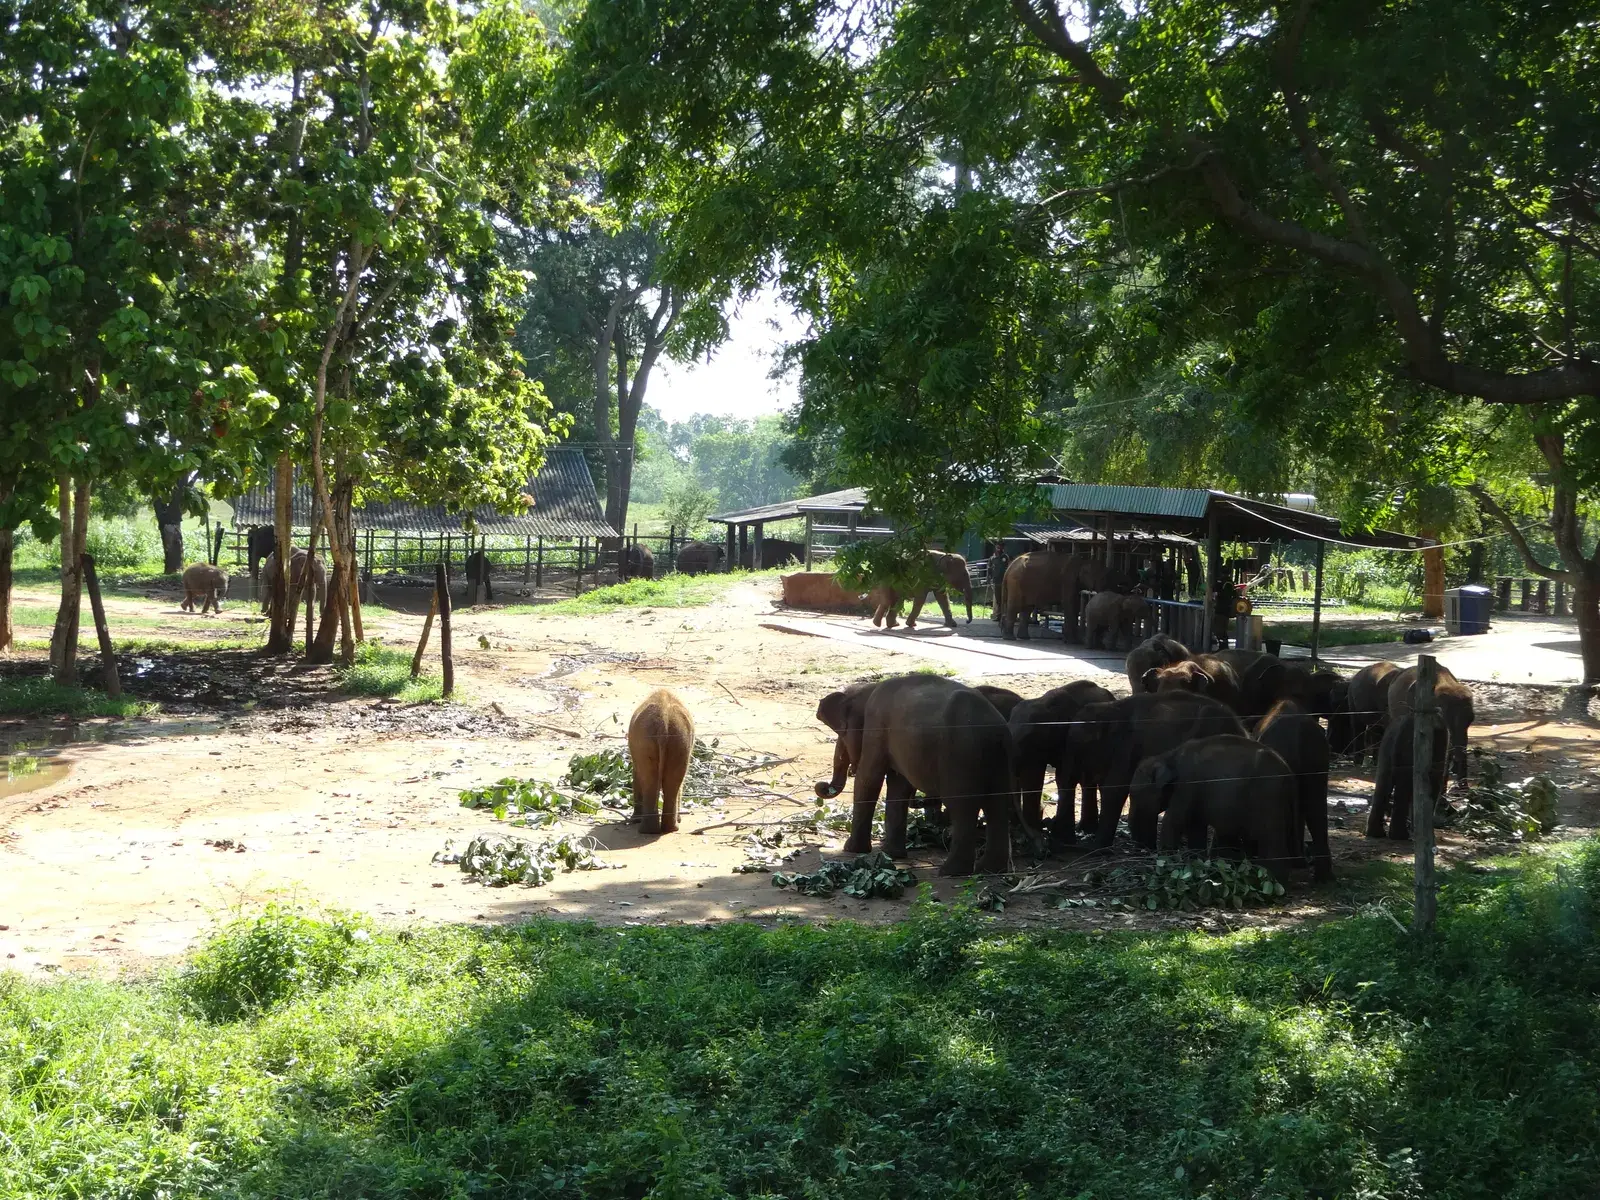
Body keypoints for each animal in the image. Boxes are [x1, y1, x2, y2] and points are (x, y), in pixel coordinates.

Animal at [628, 688, 695, 834]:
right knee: (670, 780)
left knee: (653, 779)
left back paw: (650, 829)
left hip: (658, 741)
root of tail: (664, 722)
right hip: (679, 741)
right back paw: (665, 828)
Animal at [814, 675, 1017, 875]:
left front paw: (853, 849)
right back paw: (990, 869)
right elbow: (898, 786)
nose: (822, 786)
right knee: (997, 805)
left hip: (960, 756)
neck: (869, 688)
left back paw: (950, 872)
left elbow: (869, 779)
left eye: (842, 735)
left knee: (964, 807)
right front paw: (892, 854)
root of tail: (993, 728)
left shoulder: (876, 726)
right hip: (1000, 759)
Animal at [1009, 679, 1116, 840]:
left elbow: (1061, 776)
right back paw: (1086, 829)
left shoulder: (1069, 737)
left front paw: (1058, 836)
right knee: (1087, 779)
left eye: (1027, 739)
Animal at [1130, 735, 1300, 879]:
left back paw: (1273, 880)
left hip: (1268, 797)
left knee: (1270, 838)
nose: (1144, 850)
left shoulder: (1187, 785)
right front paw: (1195, 864)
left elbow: (1174, 821)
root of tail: (1289, 775)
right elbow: (1195, 826)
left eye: (1135, 795)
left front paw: (1165, 865)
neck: (1169, 756)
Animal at [1368, 712, 1447, 840]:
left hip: (1386, 747)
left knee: (1383, 783)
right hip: (1408, 749)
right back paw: (1400, 836)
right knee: (1404, 786)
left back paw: (1376, 834)